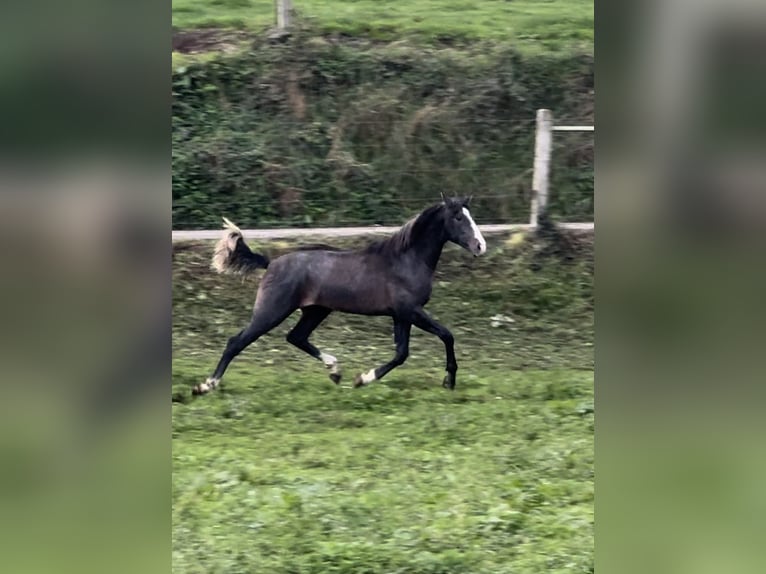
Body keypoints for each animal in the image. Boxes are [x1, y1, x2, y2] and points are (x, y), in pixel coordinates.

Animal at [195, 197, 488, 396]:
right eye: (458, 218)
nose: (480, 246)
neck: (406, 260)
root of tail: (271, 263)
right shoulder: (410, 311)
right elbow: (446, 335)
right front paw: (449, 381)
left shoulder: (401, 315)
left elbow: (401, 353)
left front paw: (361, 379)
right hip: (272, 310)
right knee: (236, 342)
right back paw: (206, 386)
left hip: (316, 310)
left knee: (296, 337)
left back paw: (335, 370)